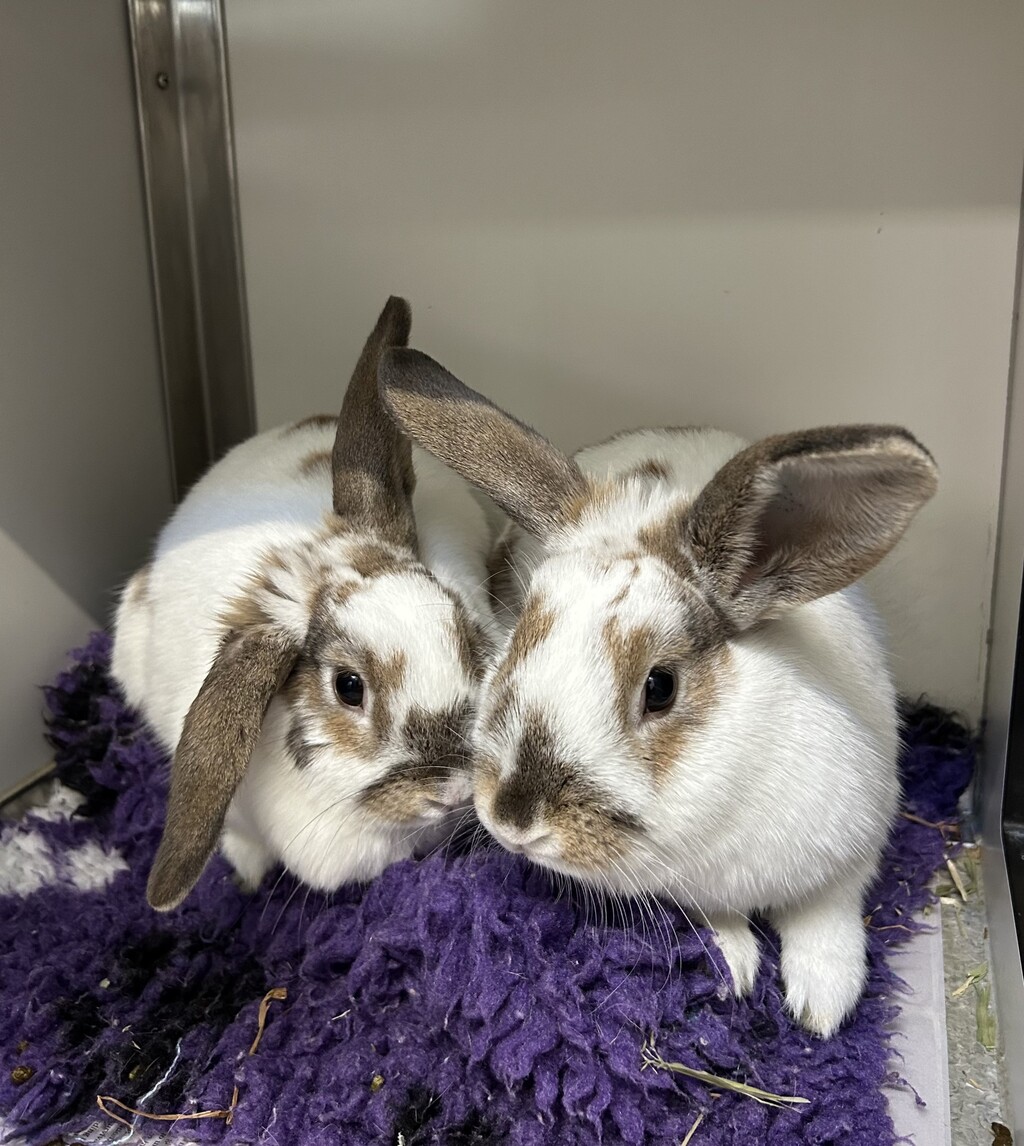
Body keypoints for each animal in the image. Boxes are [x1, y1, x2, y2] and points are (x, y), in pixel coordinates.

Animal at [377, 345, 938, 1038]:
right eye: (520, 637)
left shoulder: (851, 850)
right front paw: (736, 967)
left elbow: (827, 920)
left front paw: (821, 1008)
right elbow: (717, 919)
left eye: (661, 687)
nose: (512, 820)